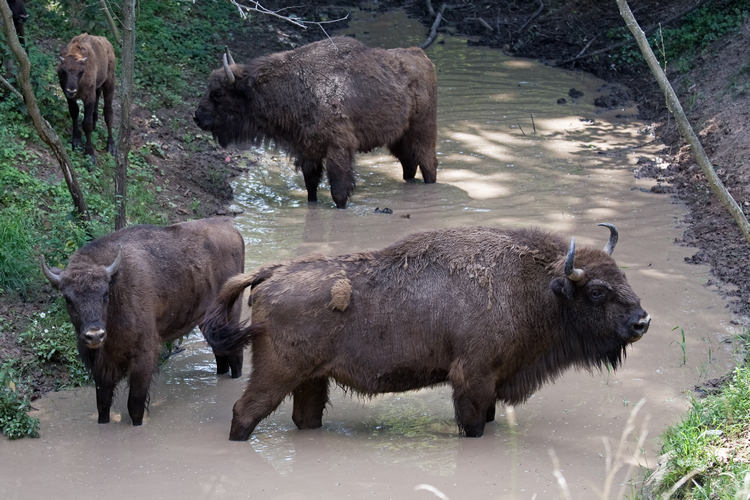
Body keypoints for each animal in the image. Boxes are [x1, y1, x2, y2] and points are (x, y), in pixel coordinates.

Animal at [40, 219, 247, 426]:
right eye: (68, 299)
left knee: (235, 354)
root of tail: (232, 229)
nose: (94, 335)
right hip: (207, 322)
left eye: (105, 293)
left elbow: (135, 405)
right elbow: (103, 405)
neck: (117, 286)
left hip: (230, 316)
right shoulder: (101, 365)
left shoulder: (143, 357)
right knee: (220, 353)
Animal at [195, 36, 440, 209]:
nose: (197, 117)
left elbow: (338, 192)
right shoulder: (307, 152)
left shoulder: (338, 149)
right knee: (409, 165)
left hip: (423, 131)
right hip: (399, 138)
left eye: (218, 94)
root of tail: (421, 57)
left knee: (428, 165)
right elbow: (310, 186)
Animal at [204, 225, 652, 440]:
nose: (641, 322)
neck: (536, 286)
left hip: (312, 379)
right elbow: (473, 424)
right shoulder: (472, 380)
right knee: (245, 412)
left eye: (622, 276)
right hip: (276, 374)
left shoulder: (491, 382)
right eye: (597, 290)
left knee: (305, 417)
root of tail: (270, 272)